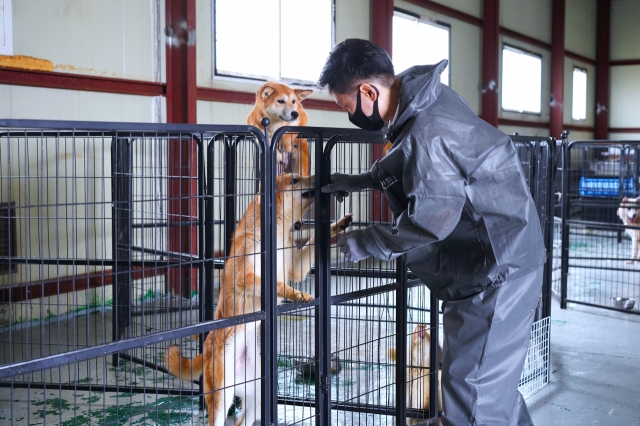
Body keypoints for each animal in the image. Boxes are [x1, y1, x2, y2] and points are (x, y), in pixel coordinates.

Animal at [165, 173, 352, 426]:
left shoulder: (295, 267)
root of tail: (206, 346)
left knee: (242, 421)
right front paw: (297, 294)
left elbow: (313, 239)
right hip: (221, 395)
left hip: (258, 394)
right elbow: (278, 284)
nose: (323, 175)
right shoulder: (247, 277)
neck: (278, 233)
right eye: (295, 180)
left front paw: (338, 225)